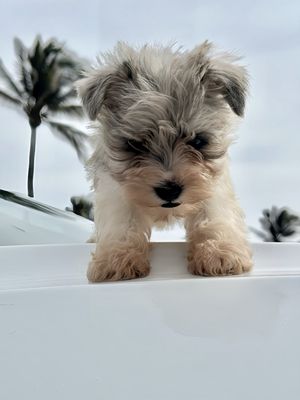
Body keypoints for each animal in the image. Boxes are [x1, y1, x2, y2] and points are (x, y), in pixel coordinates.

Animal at [77, 41, 253, 282]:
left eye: (198, 141)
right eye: (135, 145)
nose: (169, 190)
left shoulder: (212, 183)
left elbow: (212, 214)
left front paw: (218, 252)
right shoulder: (114, 187)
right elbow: (122, 220)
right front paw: (117, 257)